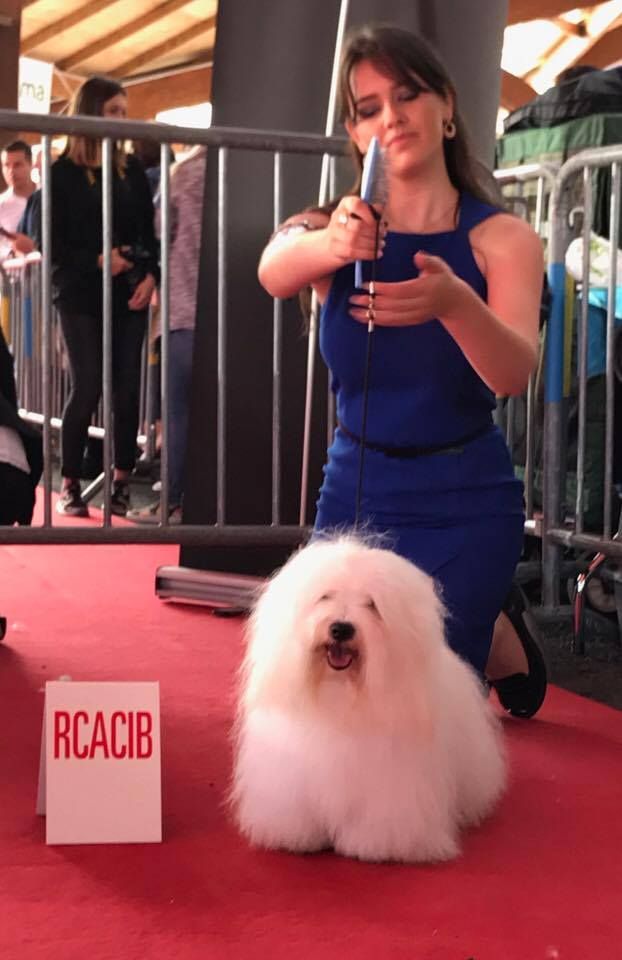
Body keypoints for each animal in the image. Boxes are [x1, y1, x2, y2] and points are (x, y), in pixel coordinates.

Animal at [230, 535, 506, 863]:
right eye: (325, 596)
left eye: (372, 605)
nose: (341, 628)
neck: (339, 698)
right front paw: (297, 837)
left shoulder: (391, 784)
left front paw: (374, 846)